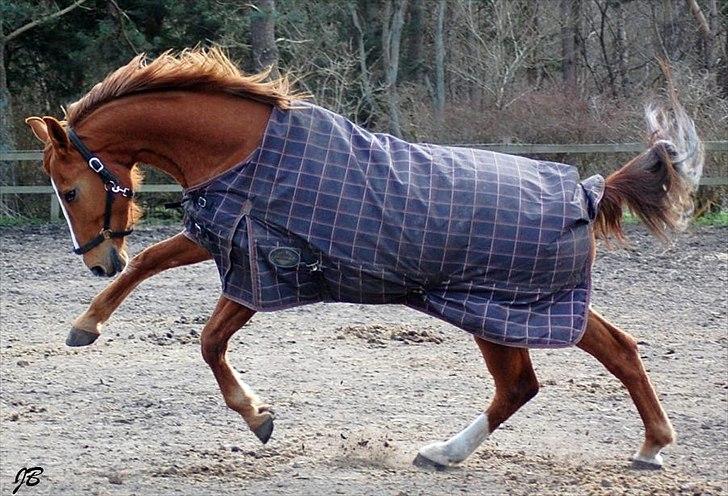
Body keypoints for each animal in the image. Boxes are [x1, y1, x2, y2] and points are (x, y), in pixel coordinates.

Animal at [25, 48, 704, 470]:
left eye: (69, 190)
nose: (97, 261)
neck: (243, 152)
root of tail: (588, 190)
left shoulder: (259, 265)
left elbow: (209, 340)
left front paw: (257, 416)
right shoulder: (224, 241)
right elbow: (155, 269)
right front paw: (87, 325)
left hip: (503, 309)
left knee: (529, 381)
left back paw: (448, 452)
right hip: (529, 307)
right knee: (603, 353)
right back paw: (645, 446)